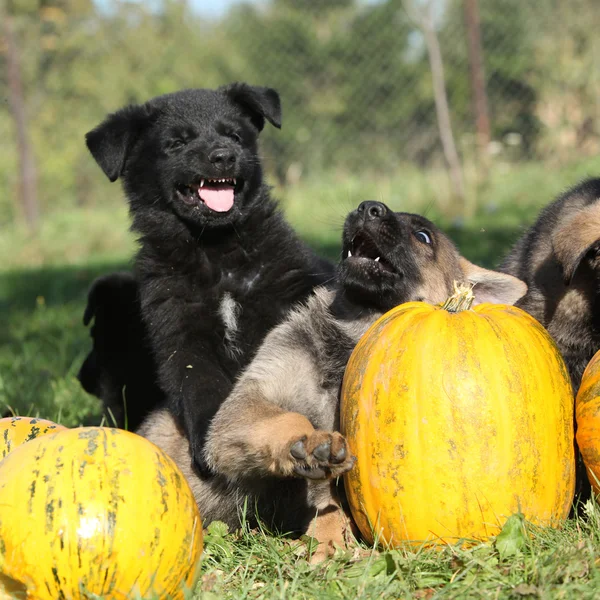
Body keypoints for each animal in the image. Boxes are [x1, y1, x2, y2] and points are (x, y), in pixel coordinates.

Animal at [85, 84, 336, 476]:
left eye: (235, 135)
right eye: (176, 143)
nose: (224, 156)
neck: (217, 252)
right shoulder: (183, 338)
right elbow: (201, 390)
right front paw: (211, 450)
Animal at [138, 200, 528, 556]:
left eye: (422, 236)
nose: (368, 207)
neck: (352, 335)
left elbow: (328, 498)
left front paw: (331, 537)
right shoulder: (244, 407)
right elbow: (291, 421)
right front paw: (311, 445)